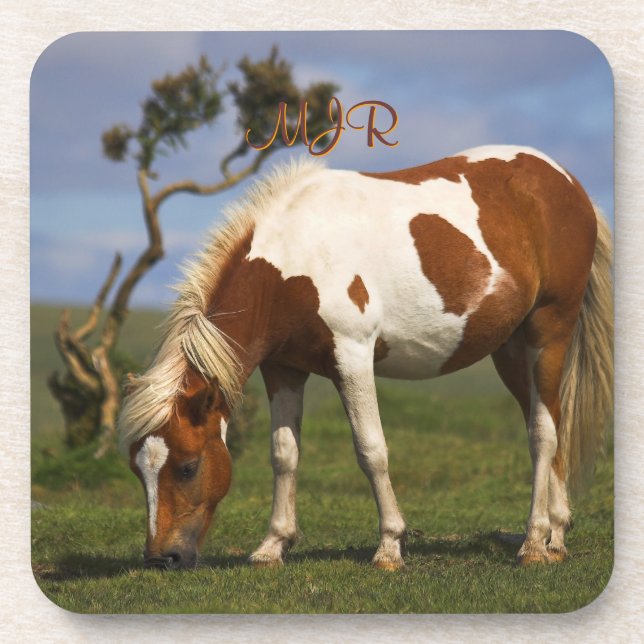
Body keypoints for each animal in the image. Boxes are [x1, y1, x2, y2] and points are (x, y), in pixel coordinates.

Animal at [118, 145, 613, 571]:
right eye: (137, 469)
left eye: (187, 467)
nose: (162, 558)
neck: (294, 260)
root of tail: (566, 182)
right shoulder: (283, 369)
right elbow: (284, 453)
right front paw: (273, 545)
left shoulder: (352, 357)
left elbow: (371, 450)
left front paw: (390, 546)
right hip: (510, 350)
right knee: (550, 419)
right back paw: (556, 536)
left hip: (549, 331)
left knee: (542, 435)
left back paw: (533, 543)